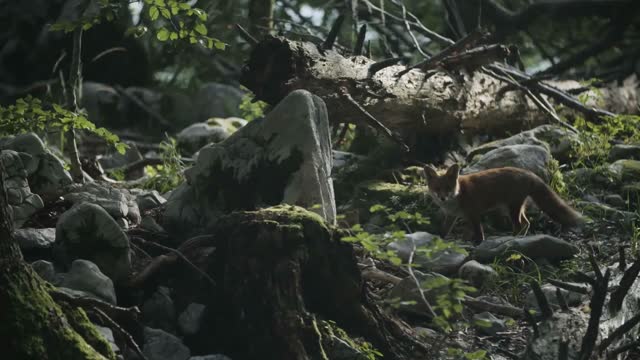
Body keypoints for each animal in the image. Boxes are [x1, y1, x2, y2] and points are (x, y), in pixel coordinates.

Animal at [424, 164, 584, 243]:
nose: (442, 198)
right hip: (515, 208)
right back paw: (519, 239)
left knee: (519, 225)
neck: (458, 194)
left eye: (448, 188)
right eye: (437, 188)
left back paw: (513, 239)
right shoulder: (451, 216)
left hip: (512, 209)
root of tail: (530, 173)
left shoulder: (474, 213)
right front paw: (439, 240)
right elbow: (444, 231)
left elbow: (479, 232)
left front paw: (478, 243)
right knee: (526, 223)